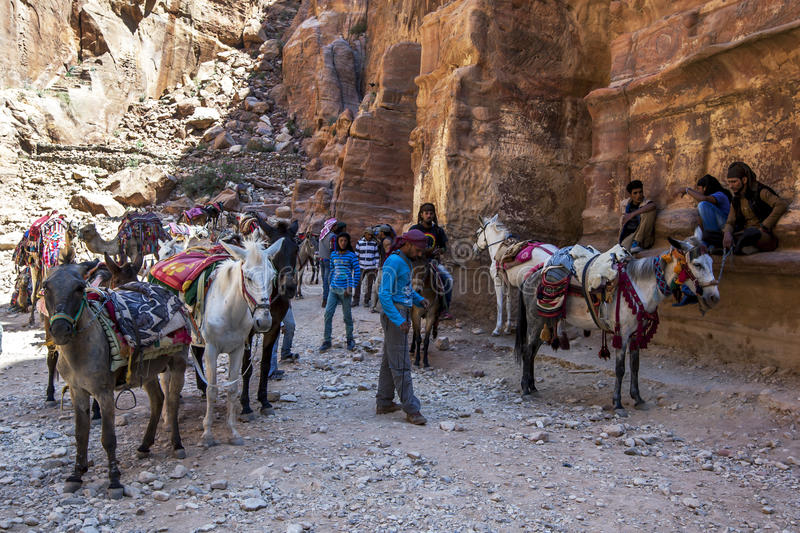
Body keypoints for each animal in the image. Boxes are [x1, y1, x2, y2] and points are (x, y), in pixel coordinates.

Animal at [196, 237, 278, 444]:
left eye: (272, 277)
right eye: (248, 277)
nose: (264, 321)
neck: (229, 312)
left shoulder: (238, 349)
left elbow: (232, 389)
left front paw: (232, 431)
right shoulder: (211, 349)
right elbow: (212, 390)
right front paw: (207, 434)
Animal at [516, 227, 720, 414]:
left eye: (711, 262)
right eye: (697, 264)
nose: (714, 297)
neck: (639, 286)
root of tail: (529, 276)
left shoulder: (636, 334)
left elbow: (635, 366)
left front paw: (638, 398)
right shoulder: (622, 334)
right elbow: (620, 368)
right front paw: (618, 403)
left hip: (546, 322)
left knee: (533, 352)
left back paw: (533, 387)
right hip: (535, 320)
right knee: (528, 350)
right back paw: (526, 389)